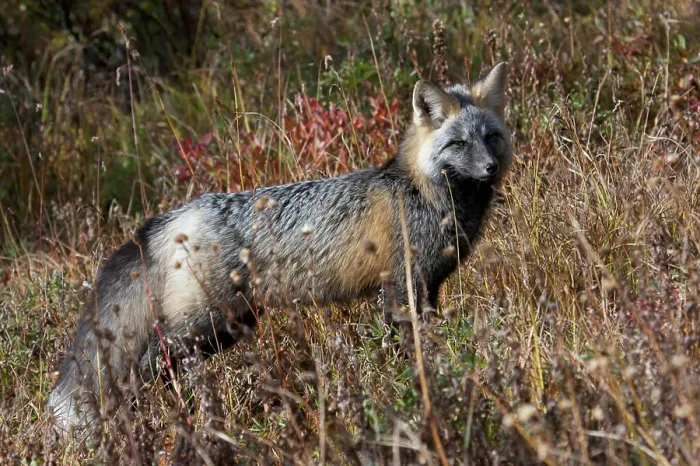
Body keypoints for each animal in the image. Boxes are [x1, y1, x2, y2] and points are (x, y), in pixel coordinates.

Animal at [48, 62, 511, 435]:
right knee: (145, 367)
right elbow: (411, 350)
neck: (425, 196)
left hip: (232, 324)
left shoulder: (427, 288)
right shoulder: (403, 288)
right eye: (458, 144)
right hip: (206, 323)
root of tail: (177, 215)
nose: (491, 167)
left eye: (491, 137)